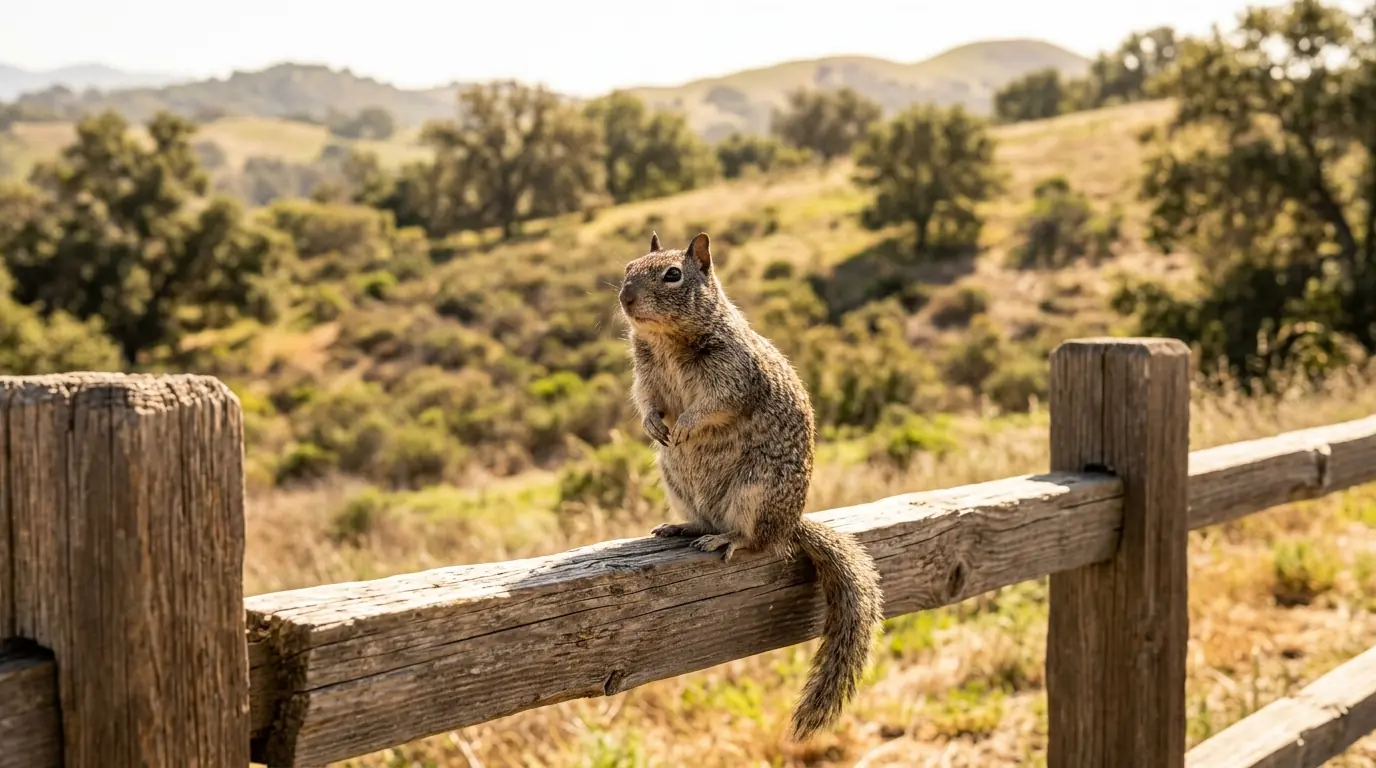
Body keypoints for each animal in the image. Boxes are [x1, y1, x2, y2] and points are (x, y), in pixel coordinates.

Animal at [618, 230, 885, 740]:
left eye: (673, 274)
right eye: (627, 267)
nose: (624, 298)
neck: (665, 339)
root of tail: (792, 523)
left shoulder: (734, 375)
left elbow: (714, 404)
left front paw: (686, 426)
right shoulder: (646, 377)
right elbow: (645, 400)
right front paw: (654, 425)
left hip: (755, 492)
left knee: (756, 541)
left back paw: (728, 539)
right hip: (678, 485)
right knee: (704, 519)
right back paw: (685, 528)